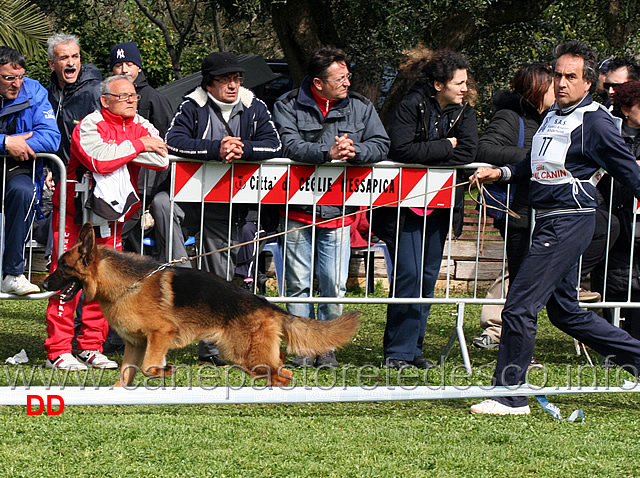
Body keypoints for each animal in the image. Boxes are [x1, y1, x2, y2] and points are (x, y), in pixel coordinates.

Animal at [44, 225, 360, 388]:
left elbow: (148, 367)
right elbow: (126, 374)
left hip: (246, 356)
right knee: (281, 366)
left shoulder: (160, 334)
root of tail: (266, 305)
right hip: (242, 356)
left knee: (283, 374)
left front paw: (166, 370)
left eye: (62, 267)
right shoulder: (135, 344)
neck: (127, 284)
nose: (45, 282)